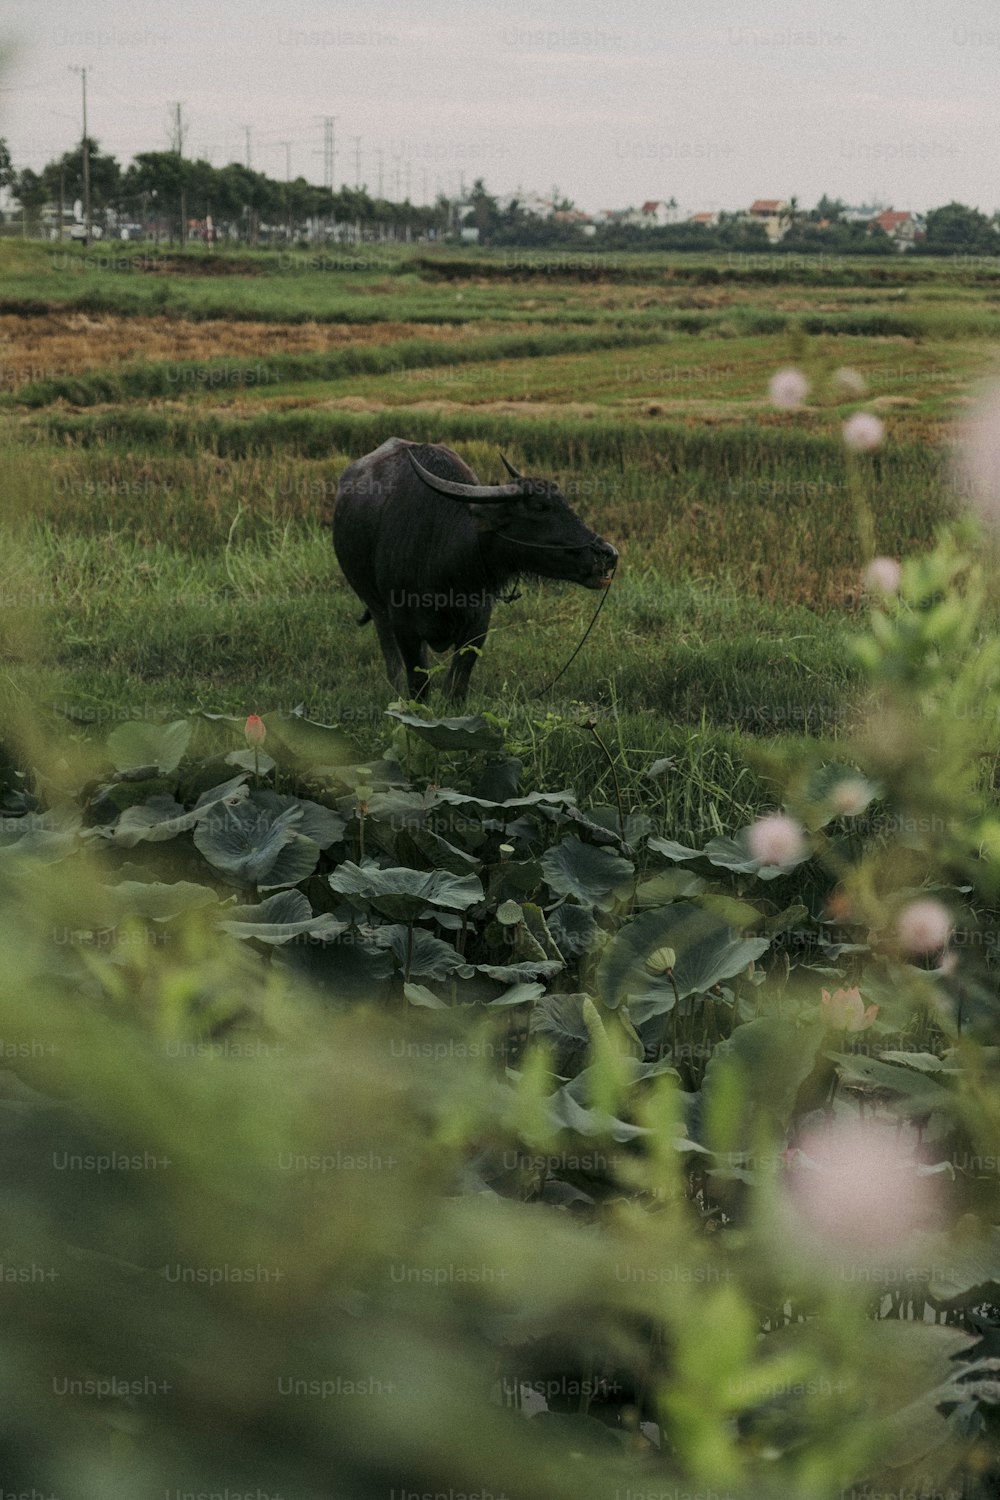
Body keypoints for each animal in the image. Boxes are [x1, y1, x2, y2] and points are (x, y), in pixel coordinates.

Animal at [334, 435, 617, 702]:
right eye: (540, 507)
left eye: (565, 503)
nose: (609, 554)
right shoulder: (403, 625)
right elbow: (419, 687)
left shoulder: (477, 625)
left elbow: (456, 689)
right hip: (377, 608)